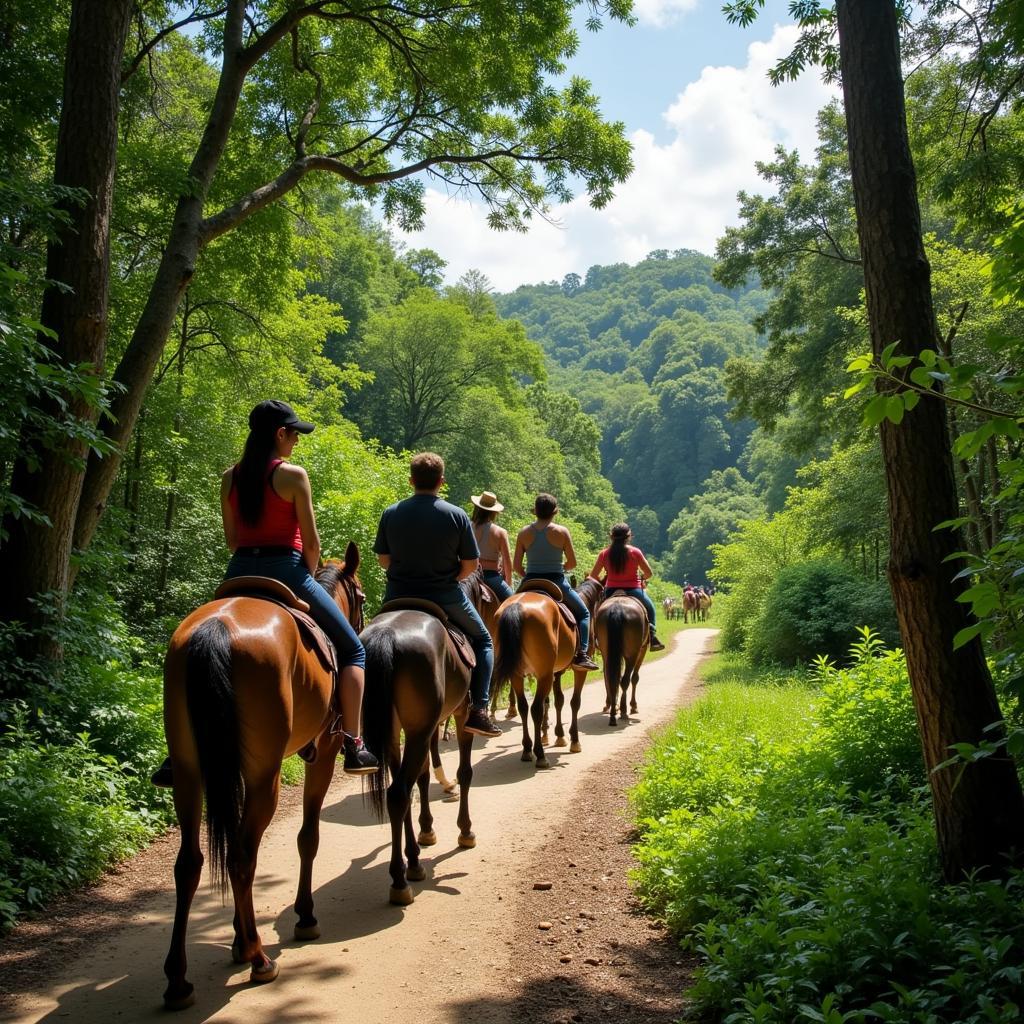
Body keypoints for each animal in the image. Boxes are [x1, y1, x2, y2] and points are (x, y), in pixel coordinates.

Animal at [157, 544, 366, 1007]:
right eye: (361, 597)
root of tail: (215, 628)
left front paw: (236, 938)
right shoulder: (323, 754)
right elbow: (308, 837)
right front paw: (304, 916)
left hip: (189, 774)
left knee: (192, 862)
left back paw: (179, 980)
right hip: (263, 776)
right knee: (240, 857)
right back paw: (259, 959)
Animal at [360, 577, 491, 905]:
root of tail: (386, 635)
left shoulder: (429, 727)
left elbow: (422, 777)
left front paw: (426, 831)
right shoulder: (460, 716)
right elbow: (465, 773)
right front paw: (465, 832)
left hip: (396, 734)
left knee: (400, 792)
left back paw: (413, 862)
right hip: (418, 730)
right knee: (398, 794)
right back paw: (399, 880)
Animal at [593, 593, 647, 729]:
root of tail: (616, 608)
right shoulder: (642, 651)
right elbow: (635, 678)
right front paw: (633, 706)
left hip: (606, 652)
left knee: (610, 678)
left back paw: (612, 712)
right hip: (632, 654)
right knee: (625, 680)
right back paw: (623, 711)